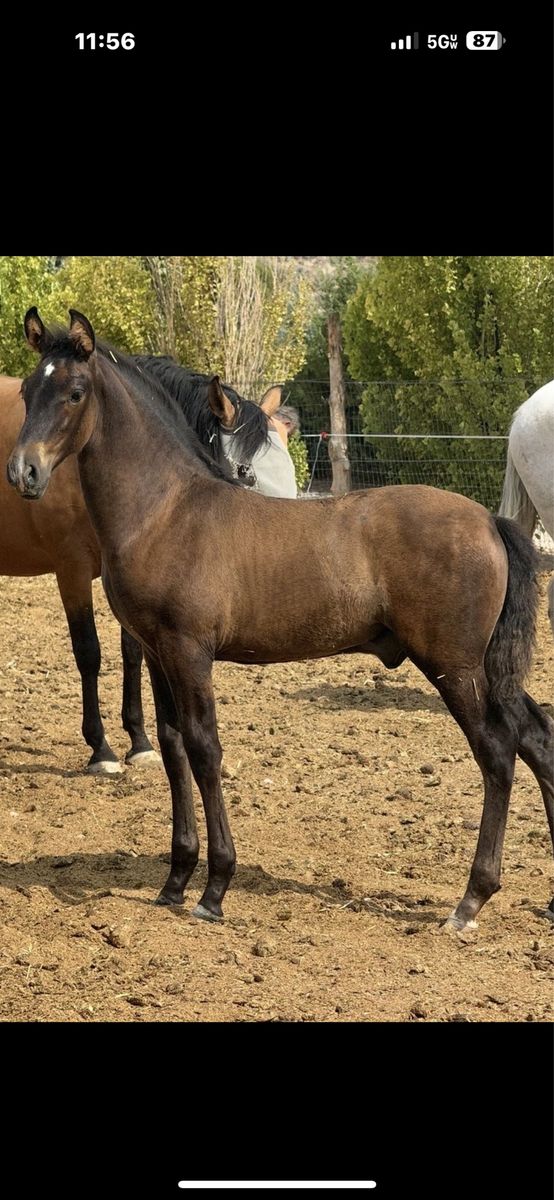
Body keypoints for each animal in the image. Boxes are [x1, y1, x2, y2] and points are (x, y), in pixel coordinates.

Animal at [0, 361, 290, 772]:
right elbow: (88, 652)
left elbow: (132, 652)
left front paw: (139, 741)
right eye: (245, 472)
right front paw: (101, 749)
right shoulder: (71, 569)